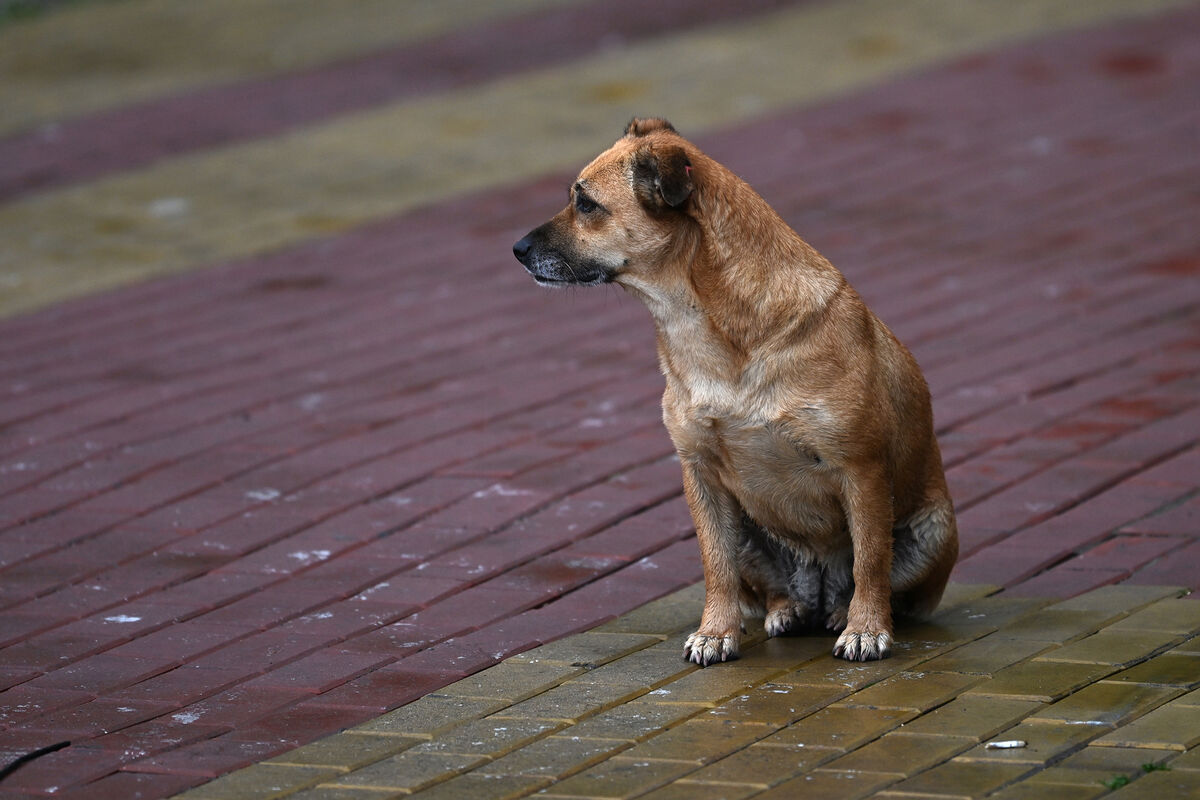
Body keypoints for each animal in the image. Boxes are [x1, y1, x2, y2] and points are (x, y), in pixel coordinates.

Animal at [511, 118, 960, 666]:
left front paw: (868, 630)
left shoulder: (862, 470)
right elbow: (716, 565)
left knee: (873, 579)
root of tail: (819, 585)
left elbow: (871, 561)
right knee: (770, 588)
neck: (704, 323)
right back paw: (789, 610)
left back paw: (842, 614)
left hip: (934, 529)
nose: (517, 249)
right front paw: (716, 632)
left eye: (587, 203)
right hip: (751, 532)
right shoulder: (701, 475)